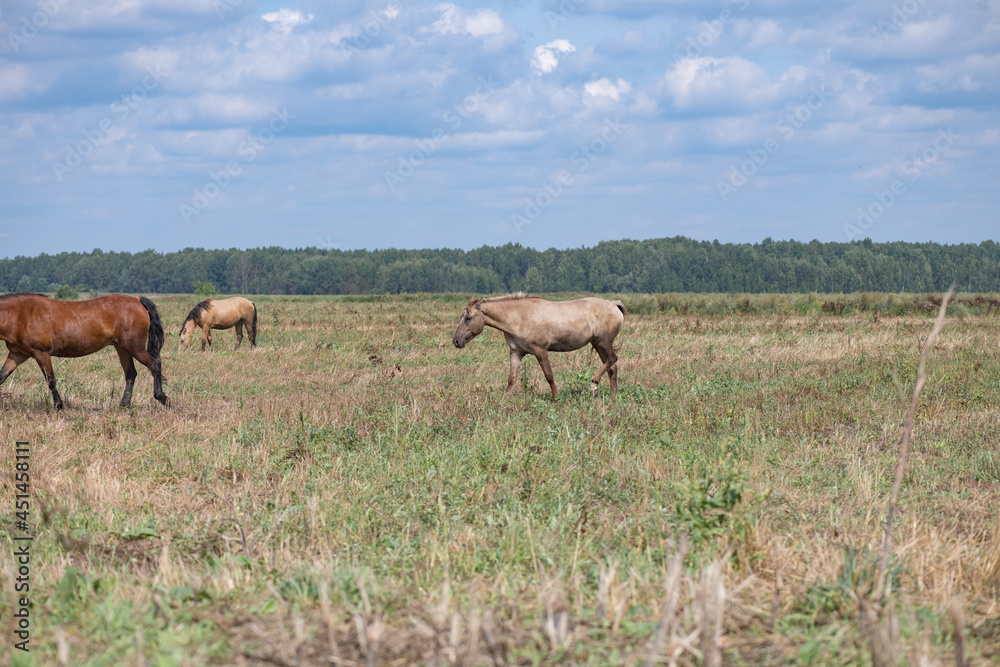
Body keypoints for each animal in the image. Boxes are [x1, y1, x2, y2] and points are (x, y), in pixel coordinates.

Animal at [0, 294, 168, 410]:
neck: (22, 315)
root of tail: (137, 300)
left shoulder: (41, 353)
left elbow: (51, 381)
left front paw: (59, 405)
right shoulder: (18, 355)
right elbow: (2, 376)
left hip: (135, 348)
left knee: (155, 365)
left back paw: (162, 398)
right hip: (122, 348)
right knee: (130, 374)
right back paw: (125, 404)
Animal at [454, 296, 624, 400]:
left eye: (468, 318)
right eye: (462, 317)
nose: (456, 341)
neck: (519, 318)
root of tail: (614, 305)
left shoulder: (540, 351)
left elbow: (549, 375)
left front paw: (556, 397)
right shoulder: (516, 352)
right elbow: (512, 378)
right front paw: (506, 399)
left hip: (603, 342)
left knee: (612, 359)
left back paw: (594, 384)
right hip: (597, 344)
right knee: (612, 368)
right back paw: (613, 396)